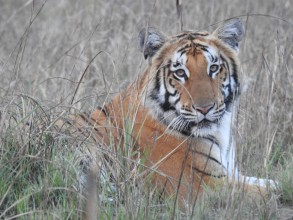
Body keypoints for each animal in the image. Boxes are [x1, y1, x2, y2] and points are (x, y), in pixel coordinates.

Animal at [60, 18, 276, 208]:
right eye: (180, 73)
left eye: (214, 68)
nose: (205, 108)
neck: (219, 132)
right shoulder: (200, 185)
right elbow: (271, 191)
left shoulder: (231, 174)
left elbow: (270, 181)